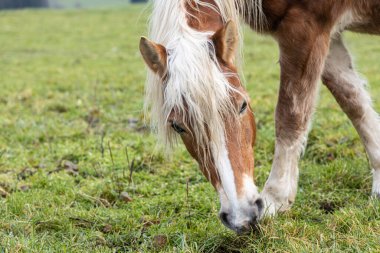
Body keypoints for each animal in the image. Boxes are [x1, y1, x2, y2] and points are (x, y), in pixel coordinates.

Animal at [139, 0, 380, 233]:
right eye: (177, 126)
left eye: (242, 105)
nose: (240, 217)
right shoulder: (328, 34)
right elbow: (353, 101)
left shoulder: (305, 27)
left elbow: (290, 116)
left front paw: (275, 199)